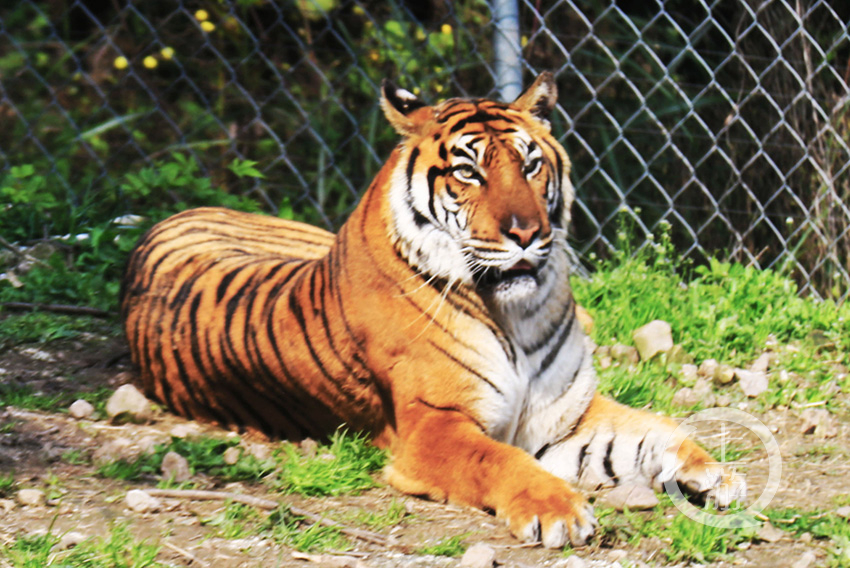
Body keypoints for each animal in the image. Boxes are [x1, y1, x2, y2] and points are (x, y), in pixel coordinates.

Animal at [119, 73, 744, 548]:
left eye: (531, 165)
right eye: (469, 171)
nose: (526, 234)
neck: (520, 314)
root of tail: (172, 215)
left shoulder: (566, 416)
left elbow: (657, 430)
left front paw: (719, 473)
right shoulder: (434, 425)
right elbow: (501, 460)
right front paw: (557, 510)